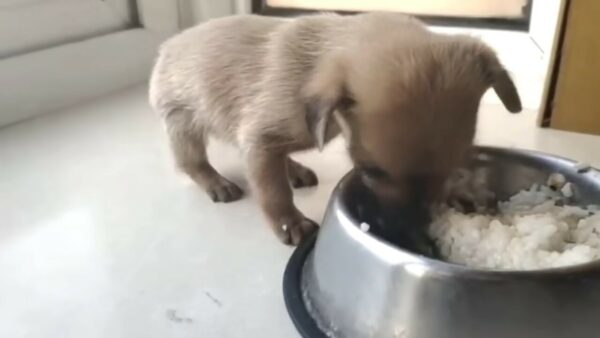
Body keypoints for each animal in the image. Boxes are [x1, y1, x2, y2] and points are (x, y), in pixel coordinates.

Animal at [150, 12, 520, 246]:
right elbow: (273, 191)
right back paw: (216, 182)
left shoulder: (264, 143)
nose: (408, 230)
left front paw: (462, 191)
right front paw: (290, 222)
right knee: (191, 161)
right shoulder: (260, 140)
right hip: (182, 120)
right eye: (371, 172)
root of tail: (168, 46)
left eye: (451, 168)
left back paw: (295, 169)